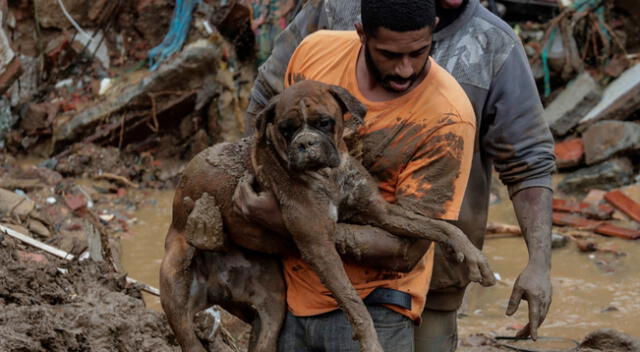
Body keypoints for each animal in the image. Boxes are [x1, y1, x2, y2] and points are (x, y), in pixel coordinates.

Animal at [161, 80, 496, 352]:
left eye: (323, 122)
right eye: (286, 128)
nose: (305, 143)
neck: (329, 175)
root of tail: (219, 286)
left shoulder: (382, 211)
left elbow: (435, 225)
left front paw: (472, 255)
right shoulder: (319, 245)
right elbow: (353, 301)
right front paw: (370, 341)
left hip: (272, 308)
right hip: (176, 289)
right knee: (188, 335)